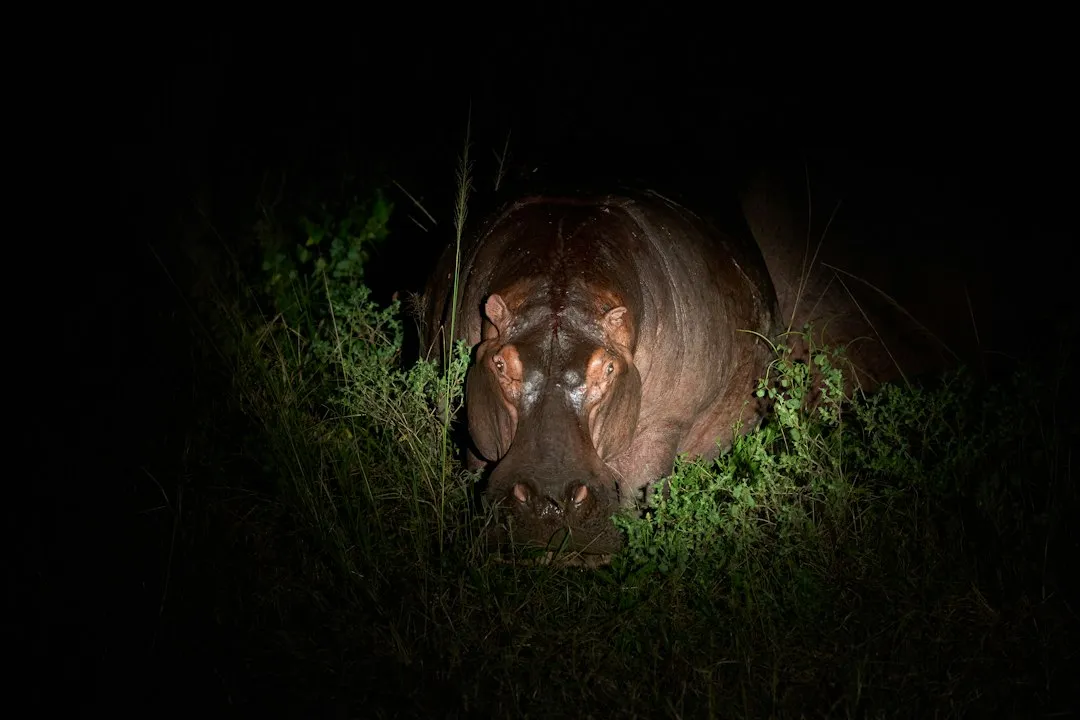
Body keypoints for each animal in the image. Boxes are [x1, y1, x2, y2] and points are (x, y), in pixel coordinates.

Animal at [421, 173, 954, 560]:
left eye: (607, 369)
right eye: (500, 363)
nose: (551, 504)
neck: (560, 284)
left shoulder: (663, 424)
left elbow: (637, 489)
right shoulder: (474, 428)